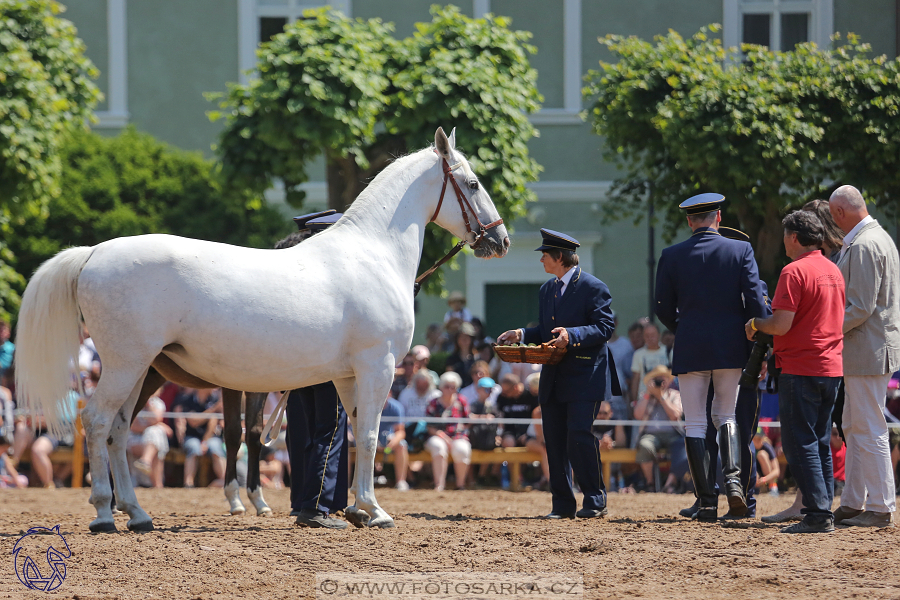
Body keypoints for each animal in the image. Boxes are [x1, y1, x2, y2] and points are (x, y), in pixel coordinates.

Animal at [14, 129, 510, 532]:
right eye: (472, 183)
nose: (500, 239)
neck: (373, 253)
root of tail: (94, 253)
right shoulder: (379, 365)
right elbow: (369, 436)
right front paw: (376, 511)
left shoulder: (348, 375)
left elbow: (352, 432)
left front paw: (355, 510)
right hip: (125, 364)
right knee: (97, 422)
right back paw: (104, 512)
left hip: (138, 370)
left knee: (117, 429)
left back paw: (137, 514)